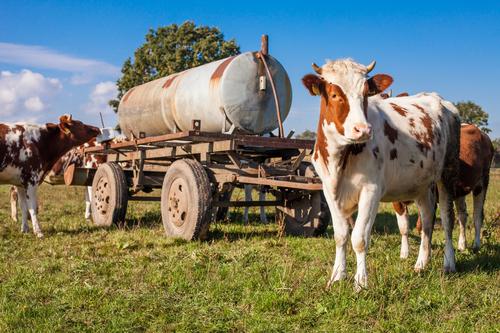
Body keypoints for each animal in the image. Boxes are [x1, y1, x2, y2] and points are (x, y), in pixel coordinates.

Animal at [300, 58, 460, 290]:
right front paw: (337, 276)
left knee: (447, 219)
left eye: (366, 93)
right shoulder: (329, 190)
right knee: (427, 218)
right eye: (334, 94)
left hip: (448, 173)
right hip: (421, 183)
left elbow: (359, 238)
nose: (363, 130)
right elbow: (341, 235)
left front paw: (360, 282)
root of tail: (438, 99)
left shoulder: (371, 190)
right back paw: (421, 263)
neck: (340, 159)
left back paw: (449, 263)